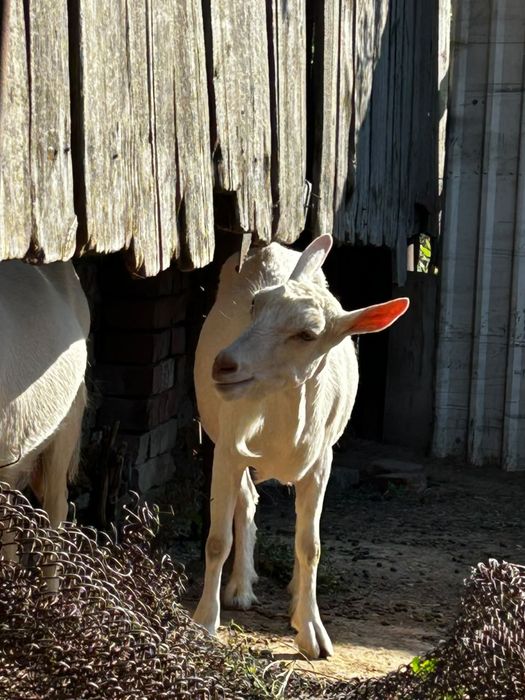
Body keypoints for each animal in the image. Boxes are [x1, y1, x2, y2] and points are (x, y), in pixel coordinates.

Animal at [193, 235, 409, 659]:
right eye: (255, 305)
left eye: (308, 334)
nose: (224, 365)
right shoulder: (227, 451)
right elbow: (216, 541)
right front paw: (203, 623)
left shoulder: (321, 464)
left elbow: (310, 546)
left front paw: (311, 632)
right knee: (247, 501)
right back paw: (240, 588)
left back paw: (293, 593)